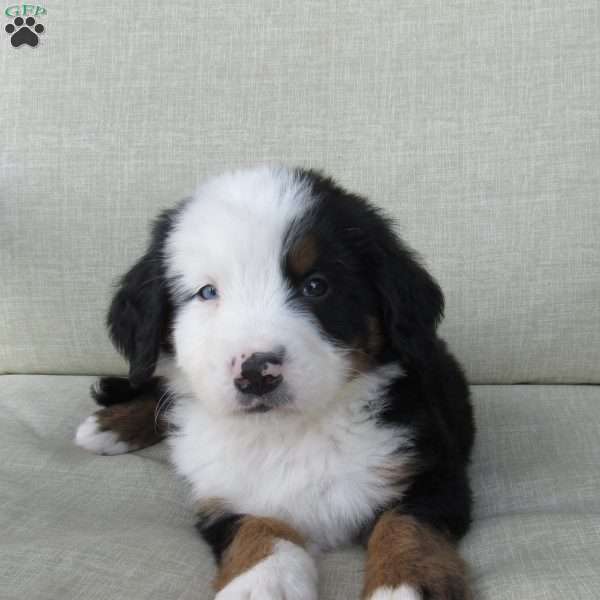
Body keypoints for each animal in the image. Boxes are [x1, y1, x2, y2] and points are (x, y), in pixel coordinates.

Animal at [75, 165, 476, 600]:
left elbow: (405, 527)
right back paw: (108, 426)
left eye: (316, 286)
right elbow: (256, 523)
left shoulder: (432, 472)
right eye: (208, 292)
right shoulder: (220, 488)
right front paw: (263, 580)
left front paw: (402, 586)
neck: (288, 433)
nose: (256, 372)